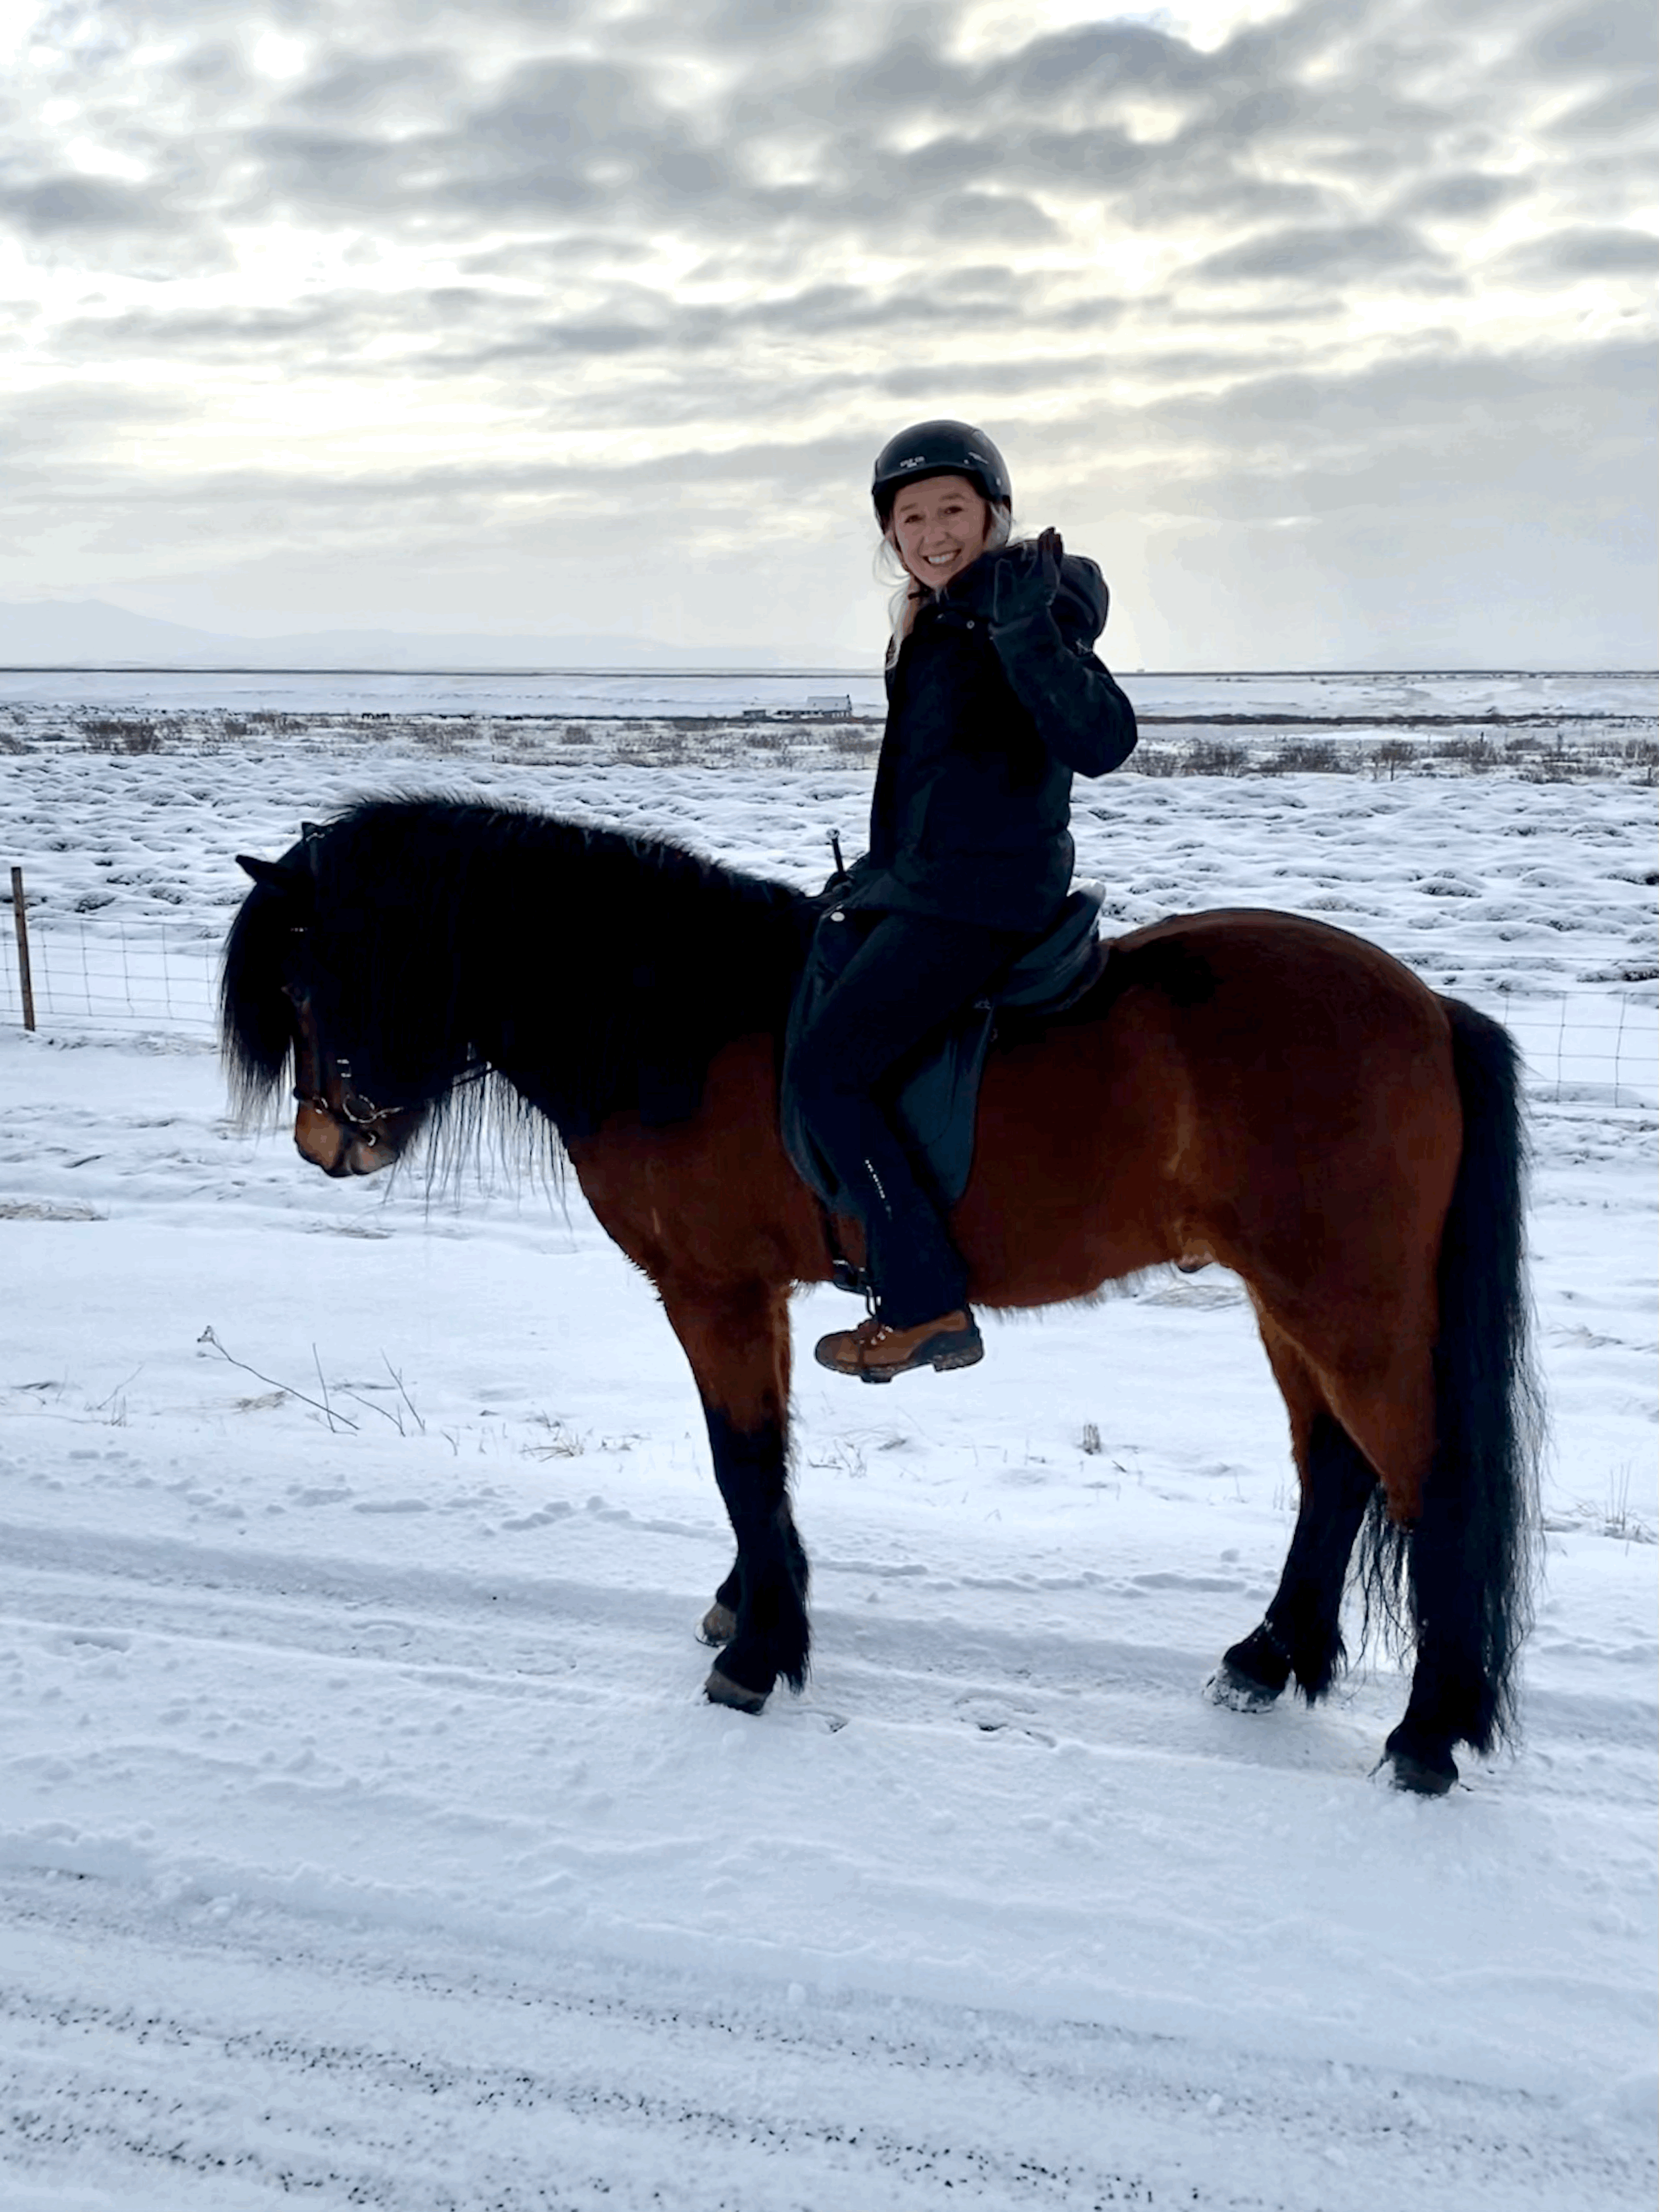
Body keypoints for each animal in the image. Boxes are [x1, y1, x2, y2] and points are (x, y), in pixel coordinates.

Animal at [221, 797, 1541, 1795]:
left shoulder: (714, 1288)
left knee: (1426, 1485)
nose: (324, 1142)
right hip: (1293, 1301)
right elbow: (755, 1463)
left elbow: (742, 1458)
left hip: (1348, 1302)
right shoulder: (745, 1292)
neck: (675, 1019)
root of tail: (1430, 1009)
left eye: (313, 980)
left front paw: (759, 1652)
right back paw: (1271, 1658)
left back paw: (1428, 1733)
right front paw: (744, 1608)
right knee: (1337, 1474)